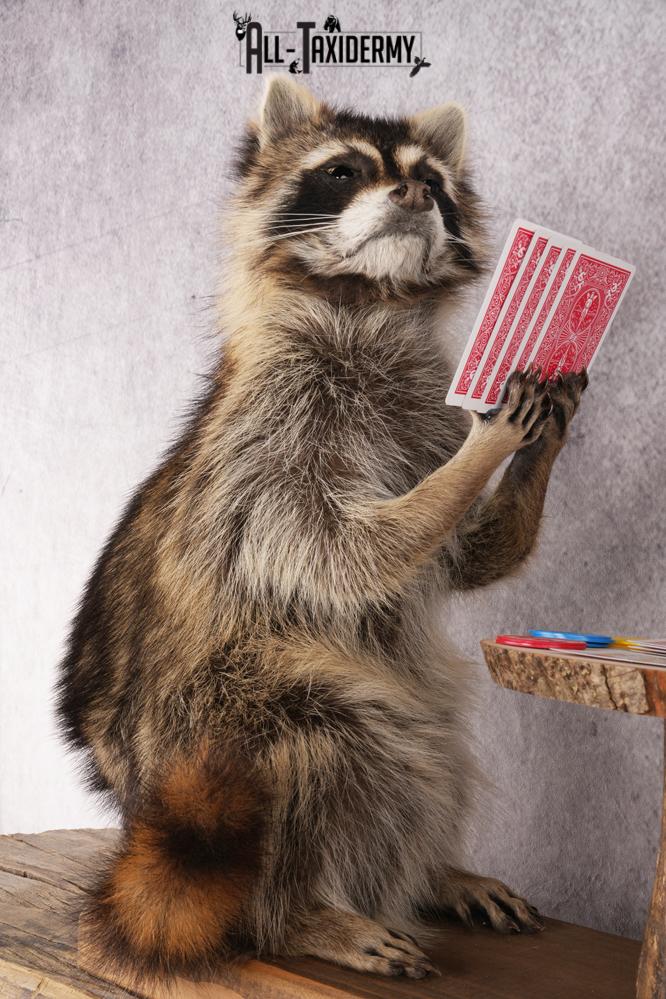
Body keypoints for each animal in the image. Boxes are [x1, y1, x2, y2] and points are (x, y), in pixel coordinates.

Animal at [57, 77, 586, 985]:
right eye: (343, 171)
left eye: (431, 180)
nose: (411, 194)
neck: (363, 301)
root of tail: (137, 811)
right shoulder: (269, 440)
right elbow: (345, 553)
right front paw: (480, 455)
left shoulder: (412, 412)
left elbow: (466, 560)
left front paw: (535, 446)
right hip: (223, 728)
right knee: (332, 744)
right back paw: (298, 911)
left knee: (436, 743)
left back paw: (431, 869)